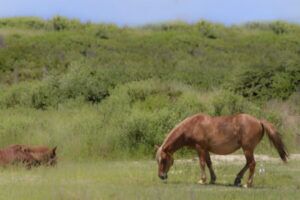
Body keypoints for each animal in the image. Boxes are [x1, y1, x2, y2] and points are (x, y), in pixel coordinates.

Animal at [156, 114, 288, 188]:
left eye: (164, 160)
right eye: (158, 160)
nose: (161, 176)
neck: (193, 126)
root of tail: (259, 121)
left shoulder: (200, 148)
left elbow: (202, 163)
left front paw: (202, 180)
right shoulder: (206, 149)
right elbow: (209, 163)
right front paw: (212, 179)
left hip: (247, 149)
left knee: (252, 164)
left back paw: (248, 184)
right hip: (247, 150)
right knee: (248, 163)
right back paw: (237, 179)